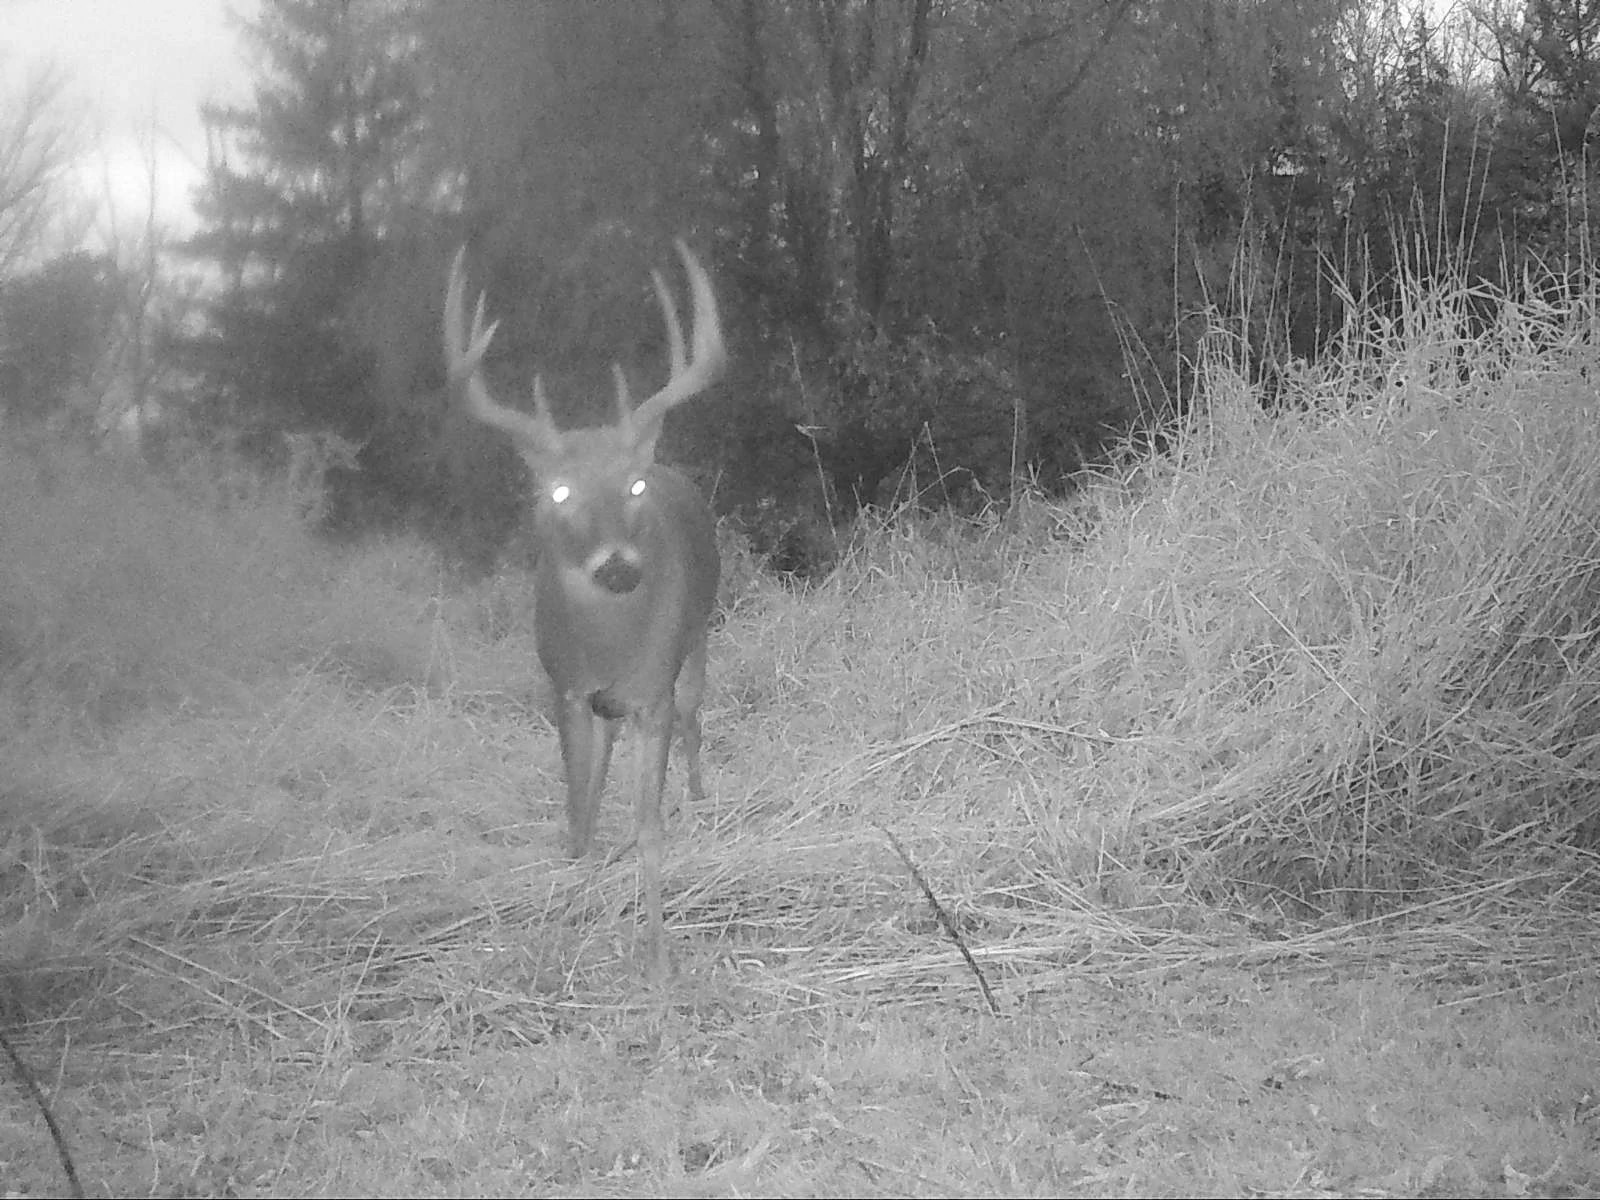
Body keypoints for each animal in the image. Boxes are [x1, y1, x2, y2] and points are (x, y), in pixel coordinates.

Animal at [443, 240, 727, 982]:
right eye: (560, 491)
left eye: (633, 485)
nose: (618, 566)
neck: (609, 650)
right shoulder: (566, 690)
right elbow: (580, 817)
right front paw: (569, 921)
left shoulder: (652, 692)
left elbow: (648, 826)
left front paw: (657, 957)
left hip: (698, 642)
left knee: (696, 721)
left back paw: (701, 796)